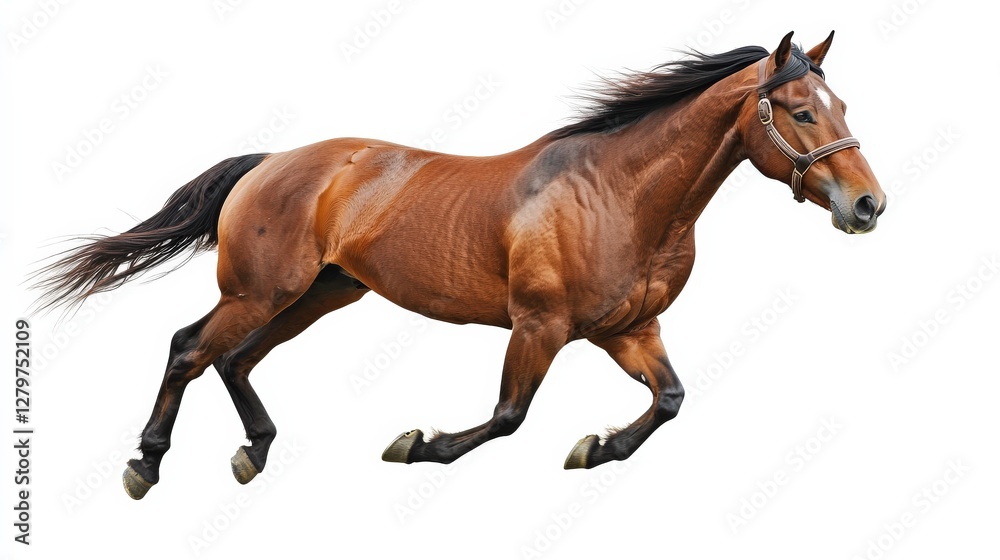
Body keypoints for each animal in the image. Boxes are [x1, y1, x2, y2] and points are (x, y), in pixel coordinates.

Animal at [33, 31, 885, 500]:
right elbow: (508, 416)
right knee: (189, 348)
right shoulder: (539, 325)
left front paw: (596, 447)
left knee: (234, 360)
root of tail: (270, 162)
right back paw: (145, 466)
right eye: (801, 111)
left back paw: (255, 452)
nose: (869, 205)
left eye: (842, 106)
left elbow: (671, 400)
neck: (619, 195)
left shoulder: (629, 330)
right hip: (260, 290)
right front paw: (416, 444)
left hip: (321, 294)